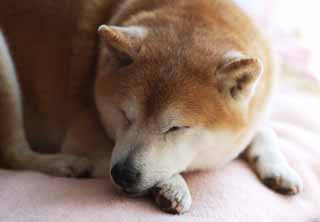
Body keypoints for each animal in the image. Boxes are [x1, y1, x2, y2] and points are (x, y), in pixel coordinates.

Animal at [0, 0, 302, 215]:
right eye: (124, 115)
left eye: (176, 127)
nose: (122, 174)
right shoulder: (84, 136)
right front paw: (173, 184)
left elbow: (265, 131)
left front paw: (279, 168)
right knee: (12, 155)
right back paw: (65, 164)